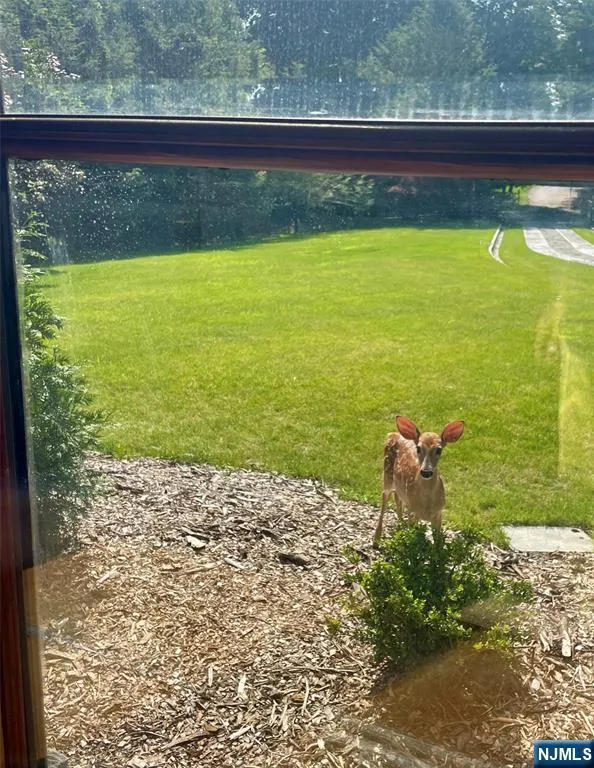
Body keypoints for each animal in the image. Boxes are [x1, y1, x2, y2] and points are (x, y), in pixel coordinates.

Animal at [373, 415, 465, 547]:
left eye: (439, 450)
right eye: (418, 448)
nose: (426, 472)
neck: (426, 503)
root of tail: (393, 434)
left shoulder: (439, 512)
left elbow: (438, 542)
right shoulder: (412, 510)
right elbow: (413, 539)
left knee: (397, 498)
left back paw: (400, 526)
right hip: (387, 475)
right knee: (384, 499)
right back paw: (376, 540)